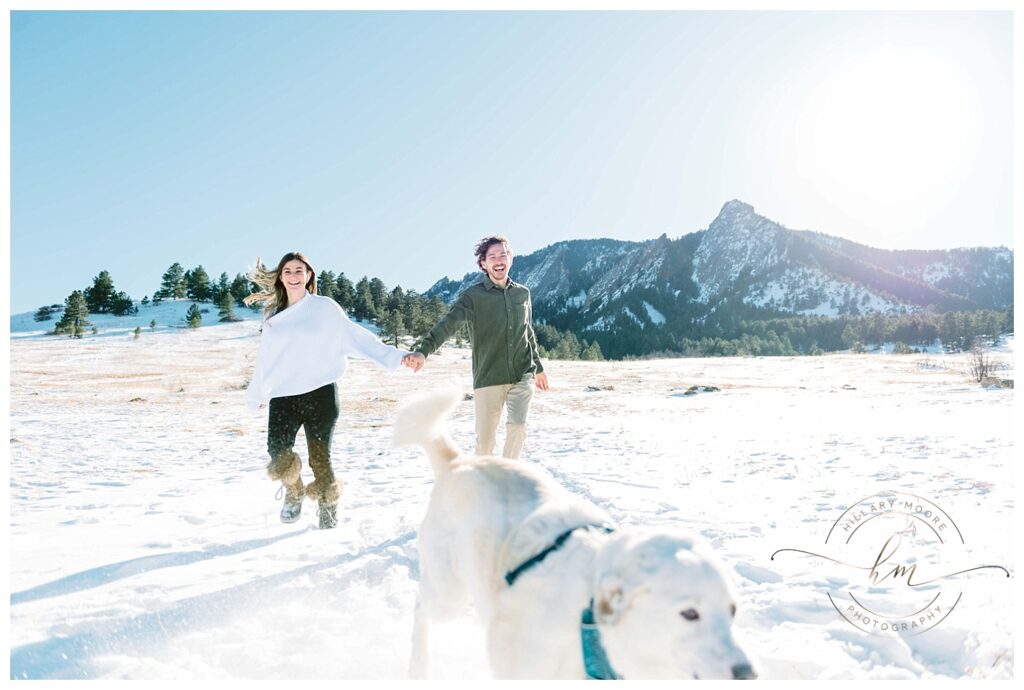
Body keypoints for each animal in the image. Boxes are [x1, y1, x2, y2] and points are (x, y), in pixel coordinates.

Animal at [391, 386, 753, 675]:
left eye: (733, 610)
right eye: (689, 613)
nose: (747, 673)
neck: (587, 618)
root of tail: (459, 462)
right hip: (448, 591)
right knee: (422, 609)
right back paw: (418, 667)